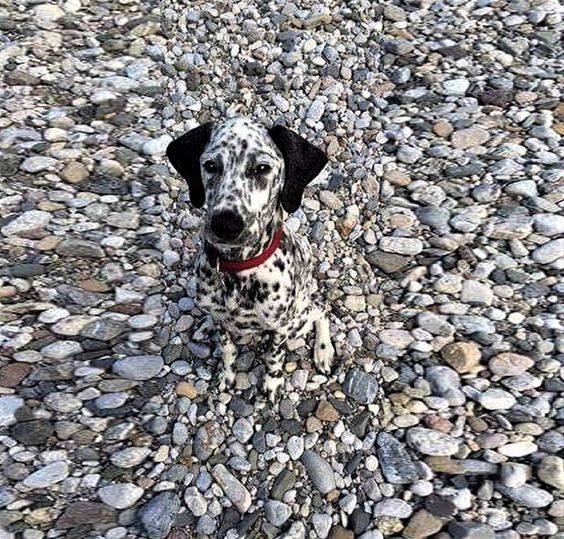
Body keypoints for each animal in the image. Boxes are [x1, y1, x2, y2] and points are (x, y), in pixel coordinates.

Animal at [166, 117, 335, 400]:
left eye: (262, 168)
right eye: (210, 165)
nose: (225, 224)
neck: (239, 267)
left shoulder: (280, 328)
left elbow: (274, 357)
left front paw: (272, 384)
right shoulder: (224, 324)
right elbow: (227, 350)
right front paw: (227, 377)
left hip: (300, 316)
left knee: (321, 310)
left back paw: (323, 351)